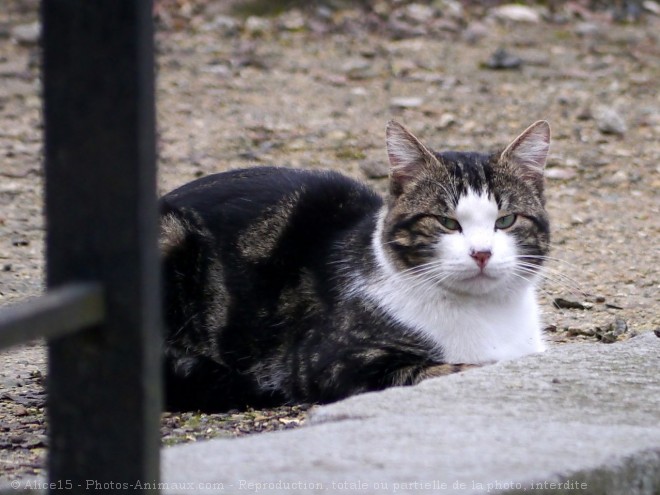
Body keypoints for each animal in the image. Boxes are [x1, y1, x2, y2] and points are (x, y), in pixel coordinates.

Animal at [161, 119, 552, 410]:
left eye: (506, 220)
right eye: (446, 222)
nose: (481, 253)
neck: (486, 314)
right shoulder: (330, 363)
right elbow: (447, 371)